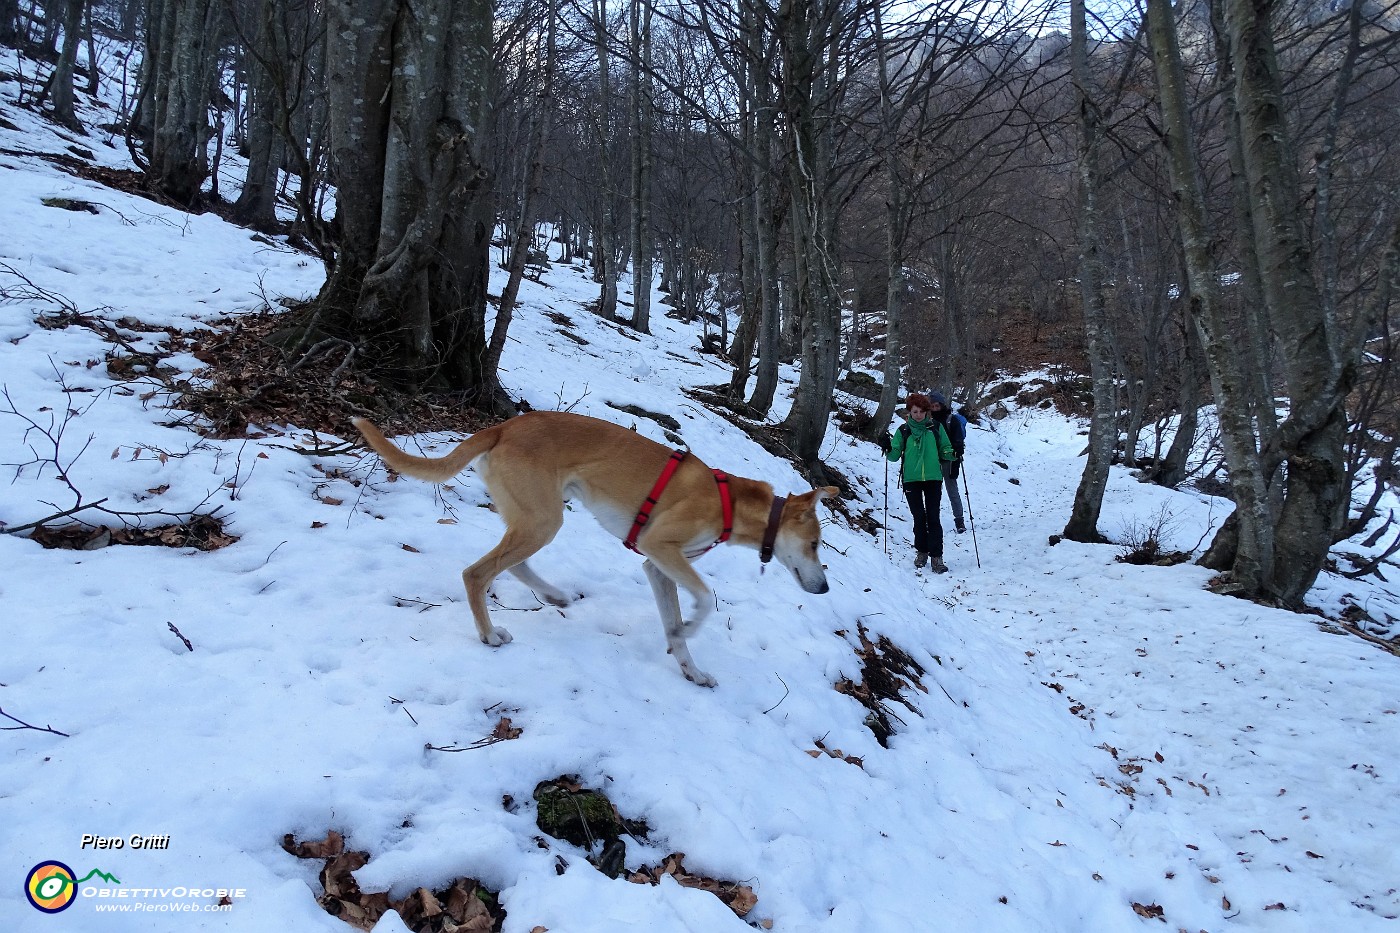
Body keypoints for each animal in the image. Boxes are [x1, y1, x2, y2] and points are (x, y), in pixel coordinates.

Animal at [350, 409, 834, 683]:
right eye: (814, 544)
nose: (826, 589)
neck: (731, 503)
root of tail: (504, 426)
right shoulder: (660, 546)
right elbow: (706, 598)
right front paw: (690, 628)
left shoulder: (658, 566)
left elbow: (675, 625)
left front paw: (690, 668)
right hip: (544, 519)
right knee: (477, 573)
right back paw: (489, 635)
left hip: (536, 518)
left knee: (512, 566)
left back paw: (554, 595)